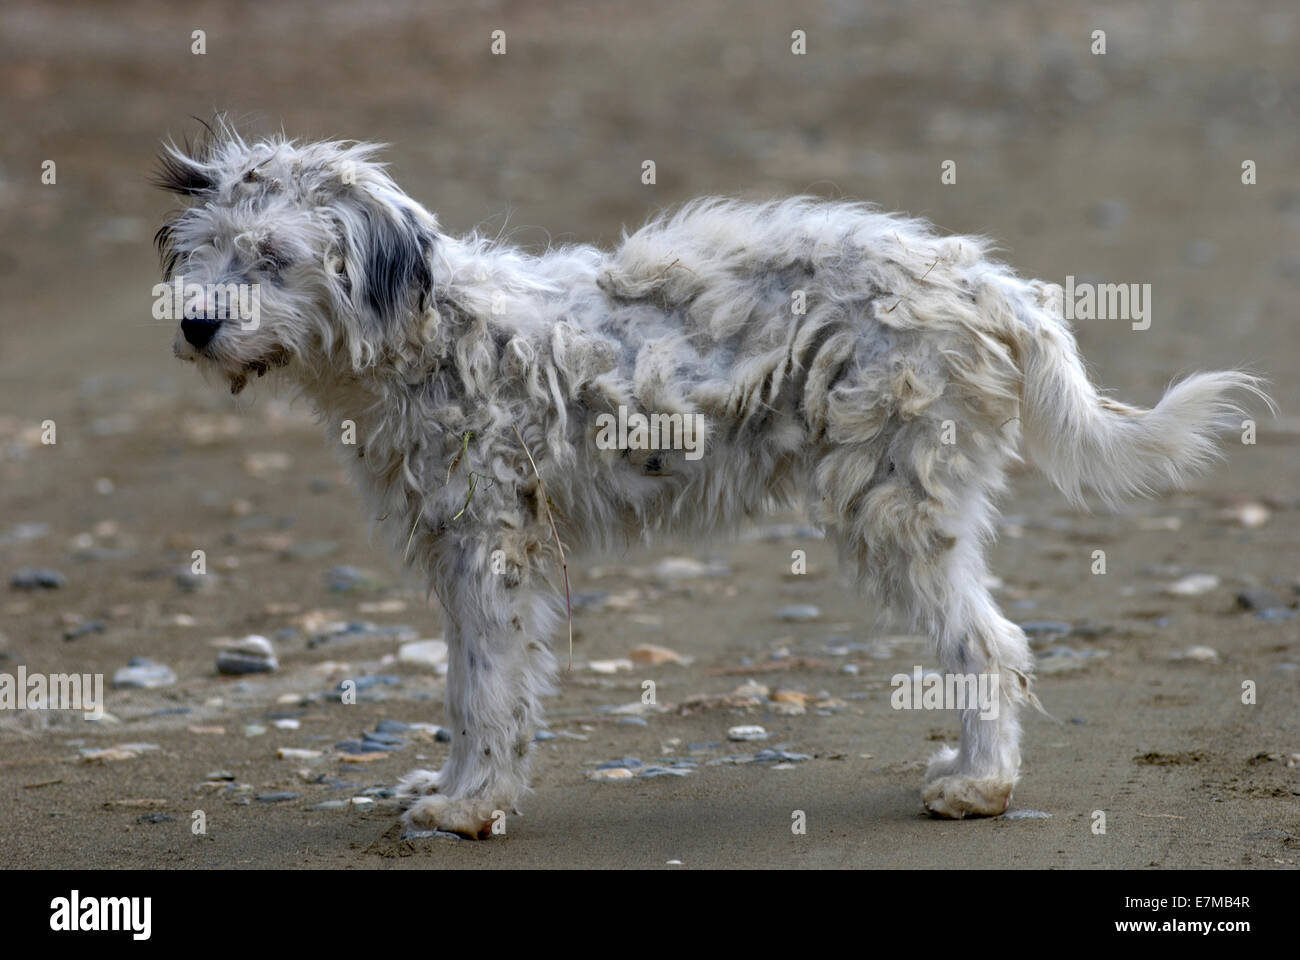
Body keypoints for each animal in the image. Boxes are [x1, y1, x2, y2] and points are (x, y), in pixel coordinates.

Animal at [157, 121, 1263, 837]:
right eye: (204, 252)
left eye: (275, 257)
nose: (196, 325)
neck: (429, 332)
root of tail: (988, 284)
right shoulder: (466, 552)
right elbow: (473, 686)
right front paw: (464, 790)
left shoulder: (492, 547)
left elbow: (484, 691)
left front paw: (470, 804)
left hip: (891, 507)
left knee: (989, 647)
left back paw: (979, 786)